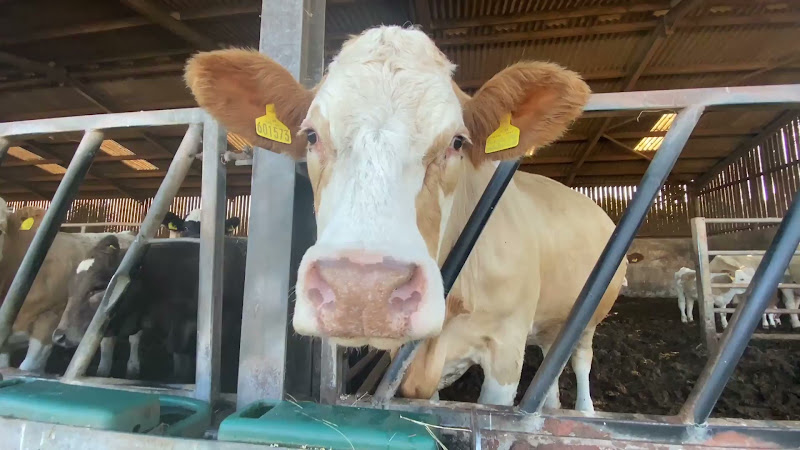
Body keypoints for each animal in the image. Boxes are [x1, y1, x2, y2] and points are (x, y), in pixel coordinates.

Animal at [184, 25, 626, 411]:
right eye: (311, 135)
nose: (361, 289)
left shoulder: (506, 346)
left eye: (457, 142)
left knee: (579, 361)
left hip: (590, 317)